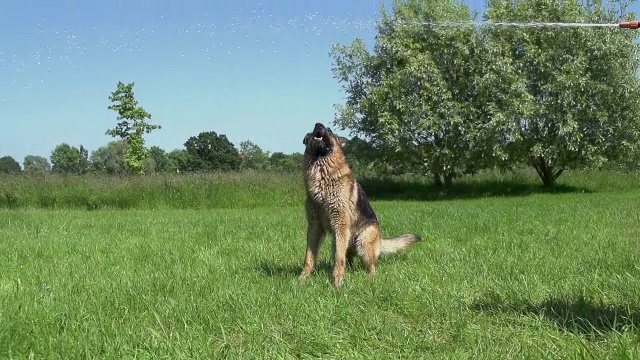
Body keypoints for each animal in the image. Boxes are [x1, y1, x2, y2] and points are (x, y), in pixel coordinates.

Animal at [298, 122, 422, 288]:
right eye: (312, 131)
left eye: (329, 130)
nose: (318, 124)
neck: (322, 178)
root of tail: (380, 239)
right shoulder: (314, 227)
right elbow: (309, 256)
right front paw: (303, 278)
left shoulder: (340, 223)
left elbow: (339, 259)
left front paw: (337, 282)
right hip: (337, 241)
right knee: (348, 259)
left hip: (362, 242)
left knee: (370, 266)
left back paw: (369, 278)